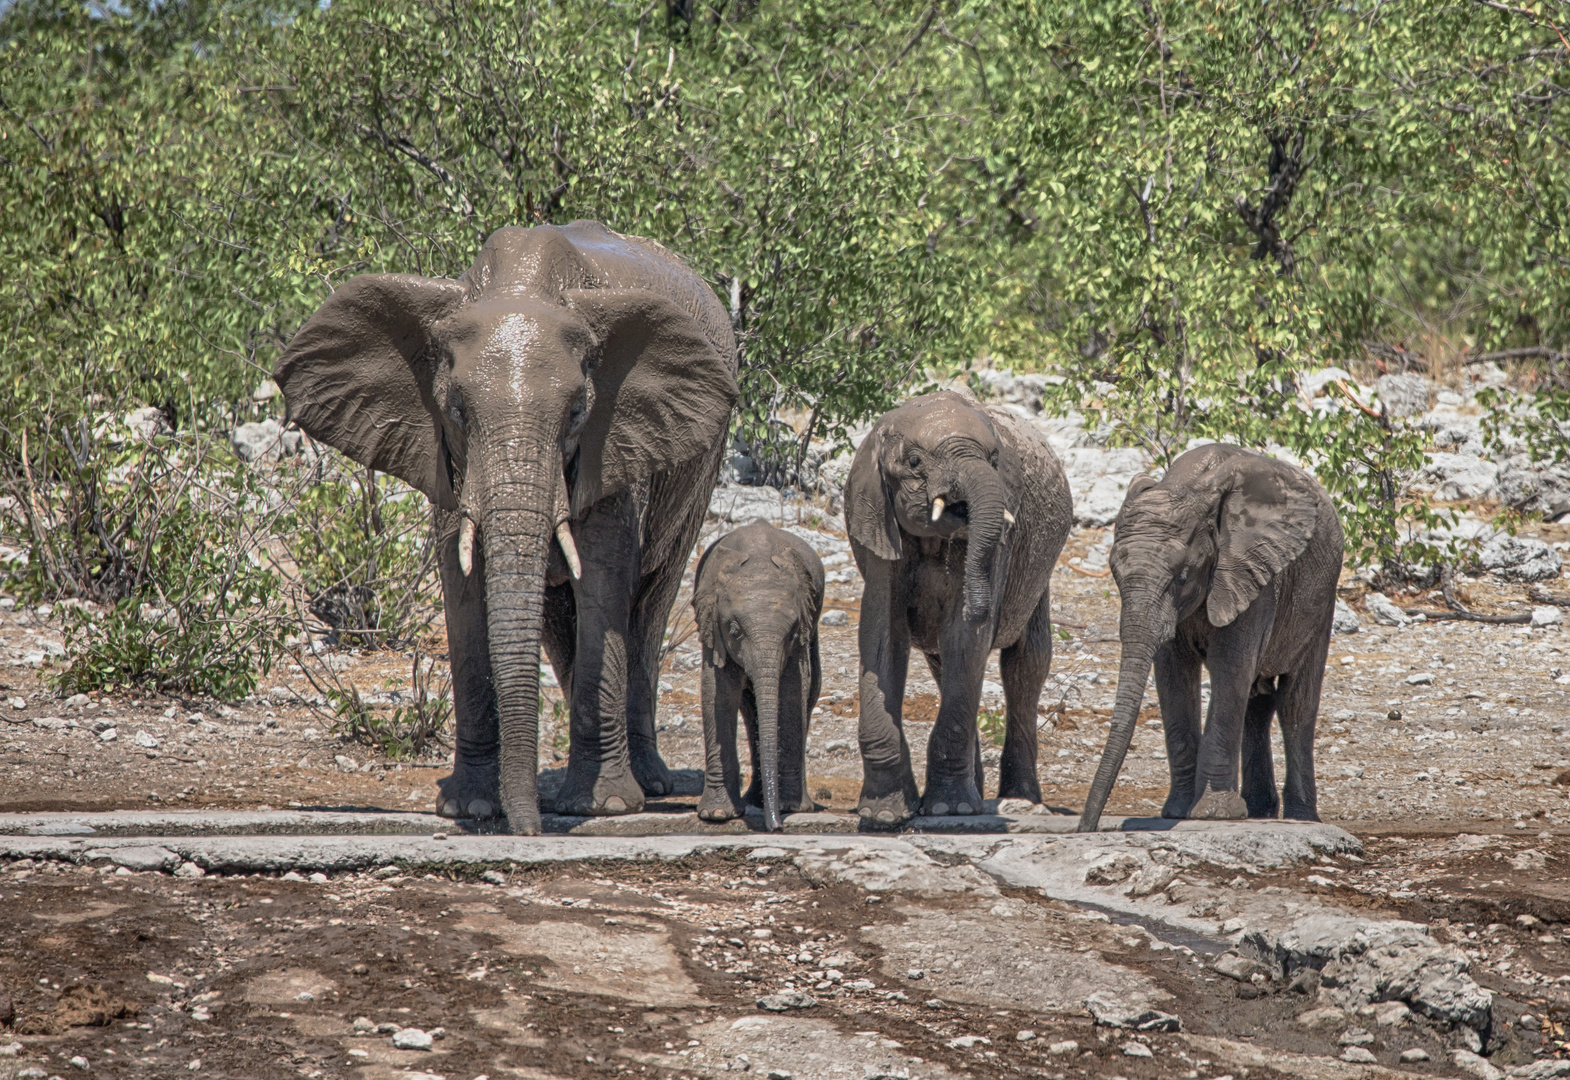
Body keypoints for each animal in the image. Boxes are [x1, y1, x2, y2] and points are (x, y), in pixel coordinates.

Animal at [273, 219, 737, 835]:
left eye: (576, 414)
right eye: (458, 410)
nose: (530, 831)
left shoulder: (616, 442)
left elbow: (604, 578)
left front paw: (603, 807)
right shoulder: (449, 460)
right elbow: (464, 585)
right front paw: (470, 808)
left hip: (700, 467)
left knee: (649, 604)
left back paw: (649, 785)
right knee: (560, 620)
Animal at [693, 524, 828, 835]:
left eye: (792, 633)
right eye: (734, 630)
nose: (776, 828)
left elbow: (792, 691)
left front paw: (789, 807)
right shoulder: (713, 627)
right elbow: (717, 691)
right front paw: (717, 814)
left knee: (809, 693)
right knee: (748, 704)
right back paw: (757, 800)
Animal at [847, 392, 1080, 822]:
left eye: (994, 460)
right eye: (914, 462)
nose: (985, 606)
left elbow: (965, 637)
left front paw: (946, 808)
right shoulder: (877, 527)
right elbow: (881, 634)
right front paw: (884, 814)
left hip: (1038, 573)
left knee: (1026, 664)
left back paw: (1018, 800)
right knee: (946, 665)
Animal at [1080, 442, 1350, 828]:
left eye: (1181, 577)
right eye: (1115, 574)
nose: (1085, 827)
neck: (1188, 487)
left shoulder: (1251, 570)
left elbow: (1230, 668)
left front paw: (1214, 814)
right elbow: (1173, 676)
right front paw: (1179, 812)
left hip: (1321, 595)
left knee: (1296, 703)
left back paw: (1301, 819)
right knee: (1257, 703)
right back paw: (1259, 811)